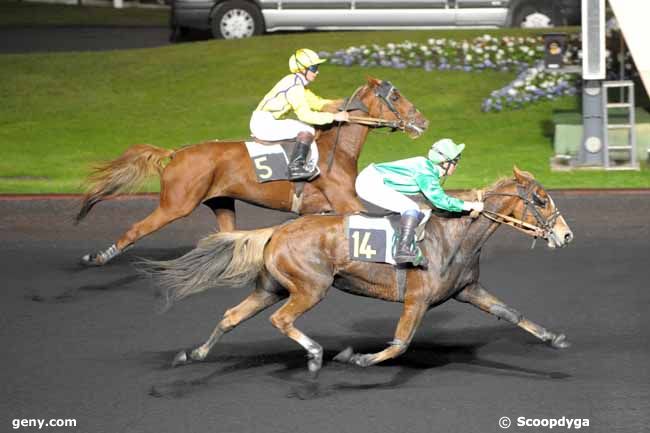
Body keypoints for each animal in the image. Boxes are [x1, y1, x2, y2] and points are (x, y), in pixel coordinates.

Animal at [76, 78, 428, 266]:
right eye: (395, 95)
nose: (422, 121)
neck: (334, 148)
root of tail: (176, 153)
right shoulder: (346, 202)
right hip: (175, 204)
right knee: (137, 229)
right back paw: (100, 256)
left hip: (220, 202)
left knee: (225, 235)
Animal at [144, 165, 568, 372]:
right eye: (541, 200)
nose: (565, 235)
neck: (453, 234)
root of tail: (277, 230)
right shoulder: (417, 299)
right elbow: (399, 344)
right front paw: (357, 358)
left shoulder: (468, 290)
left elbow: (510, 312)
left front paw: (554, 338)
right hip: (309, 287)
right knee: (281, 320)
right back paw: (316, 354)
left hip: (271, 288)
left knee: (232, 315)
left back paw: (194, 355)